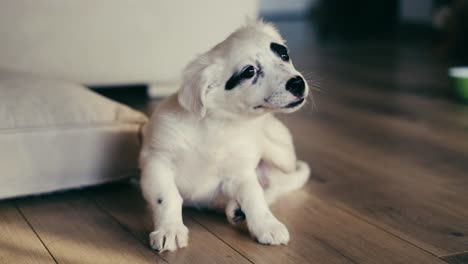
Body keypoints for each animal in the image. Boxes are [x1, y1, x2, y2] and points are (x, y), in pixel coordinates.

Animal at [141, 20, 312, 252]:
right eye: (249, 71)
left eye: (284, 54)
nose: (297, 83)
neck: (220, 126)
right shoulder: (157, 161)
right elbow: (167, 196)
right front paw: (170, 229)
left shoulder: (240, 173)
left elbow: (254, 196)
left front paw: (266, 224)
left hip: (279, 154)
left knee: (274, 184)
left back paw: (238, 209)